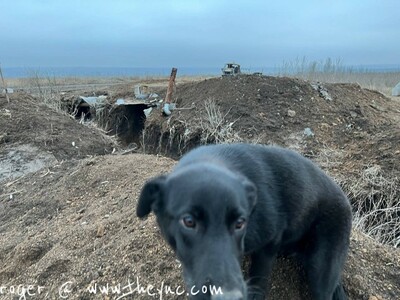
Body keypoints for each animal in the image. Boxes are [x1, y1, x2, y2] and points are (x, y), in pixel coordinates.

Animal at [137, 144, 350, 298]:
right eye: (188, 221)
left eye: (240, 223)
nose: (228, 297)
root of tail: (345, 198)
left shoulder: (270, 242)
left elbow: (259, 277)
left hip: (321, 267)